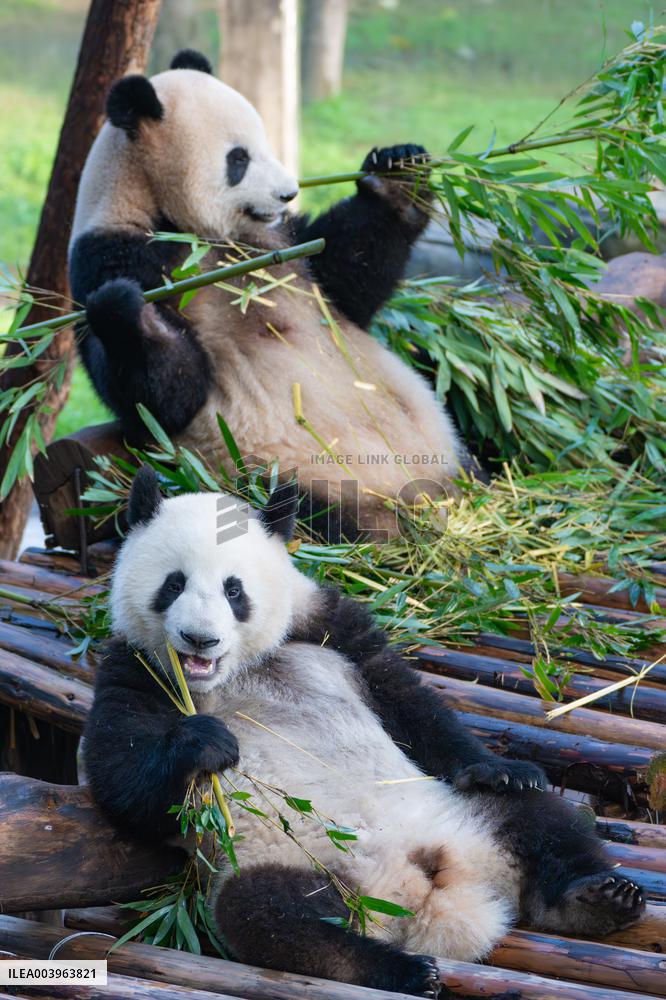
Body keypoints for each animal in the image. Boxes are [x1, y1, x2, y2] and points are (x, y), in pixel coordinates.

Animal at [68, 49, 469, 542]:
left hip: (445, 439)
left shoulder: (281, 243)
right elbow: (166, 398)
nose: (288, 193)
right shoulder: (115, 254)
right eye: (238, 159)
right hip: (289, 476)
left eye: (264, 143)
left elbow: (345, 277)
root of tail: (425, 500)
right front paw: (127, 311)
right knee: (313, 514)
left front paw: (398, 177)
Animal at [83, 466, 645, 999]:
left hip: (463, 815)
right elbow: (122, 778)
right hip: (285, 860)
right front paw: (207, 742)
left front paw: (495, 766)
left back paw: (596, 899)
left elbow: (410, 703)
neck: (237, 669)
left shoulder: (331, 629)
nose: (200, 639)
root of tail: (427, 896)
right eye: (173, 584)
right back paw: (405, 970)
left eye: (233, 589)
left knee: (539, 817)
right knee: (272, 918)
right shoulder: (136, 667)